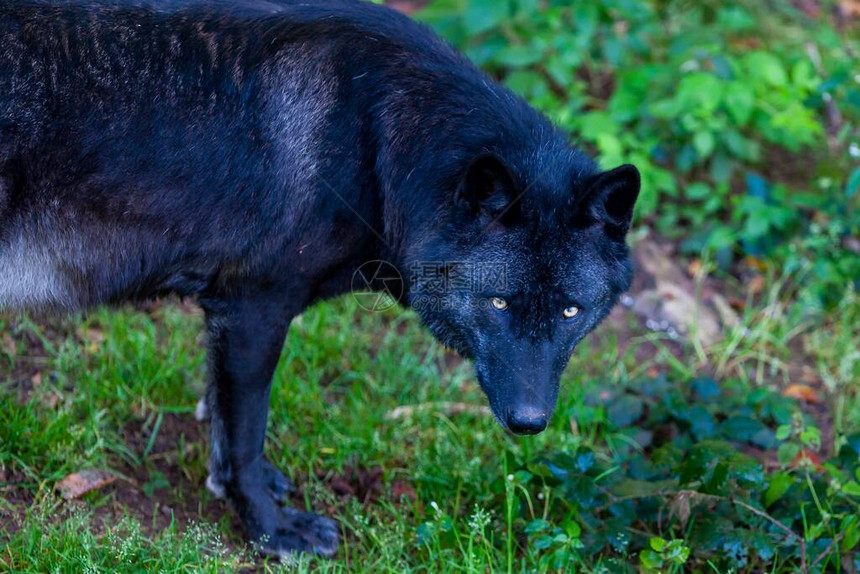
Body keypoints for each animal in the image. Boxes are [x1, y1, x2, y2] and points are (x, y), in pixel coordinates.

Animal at [0, 0, 640, 560]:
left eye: (571, 312)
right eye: (500, 304)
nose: (529, 422)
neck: (378, 147)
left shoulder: (226, 322)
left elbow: (225, 429)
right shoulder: (253, 311)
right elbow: (245, 433)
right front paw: (270, 530)